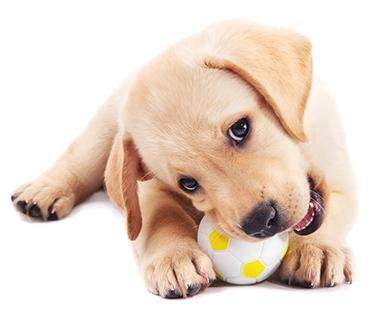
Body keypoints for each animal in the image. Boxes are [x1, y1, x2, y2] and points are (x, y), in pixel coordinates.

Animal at [10, 21, 356, 298]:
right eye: (189, 184)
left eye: (240, 128)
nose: (260, 222)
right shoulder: (144, 189)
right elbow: (161, 216)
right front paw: (174, 258)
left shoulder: (344, 183)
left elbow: (332, 214)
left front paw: (317, 250)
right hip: (104, 129)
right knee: (79, 158)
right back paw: (43, 191)